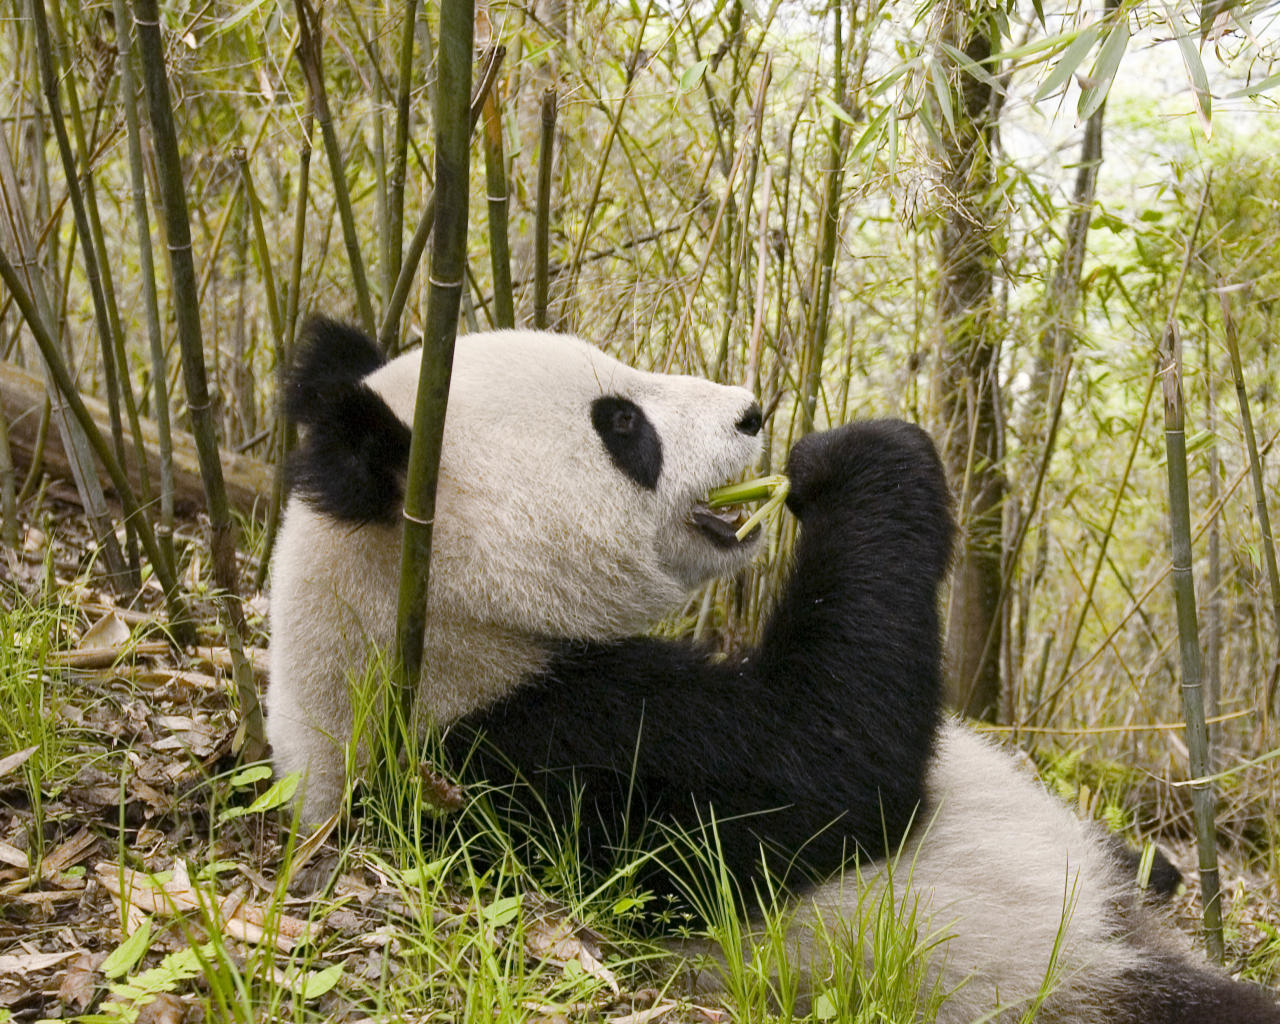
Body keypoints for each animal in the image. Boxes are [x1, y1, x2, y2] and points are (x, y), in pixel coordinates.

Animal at [270, 316, 1280, 1024]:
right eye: (621, 424)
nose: (753, 410)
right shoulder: (540, 755)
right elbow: (831, 768)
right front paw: (857, 458)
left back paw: (1155, 868)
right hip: (1056, 974)